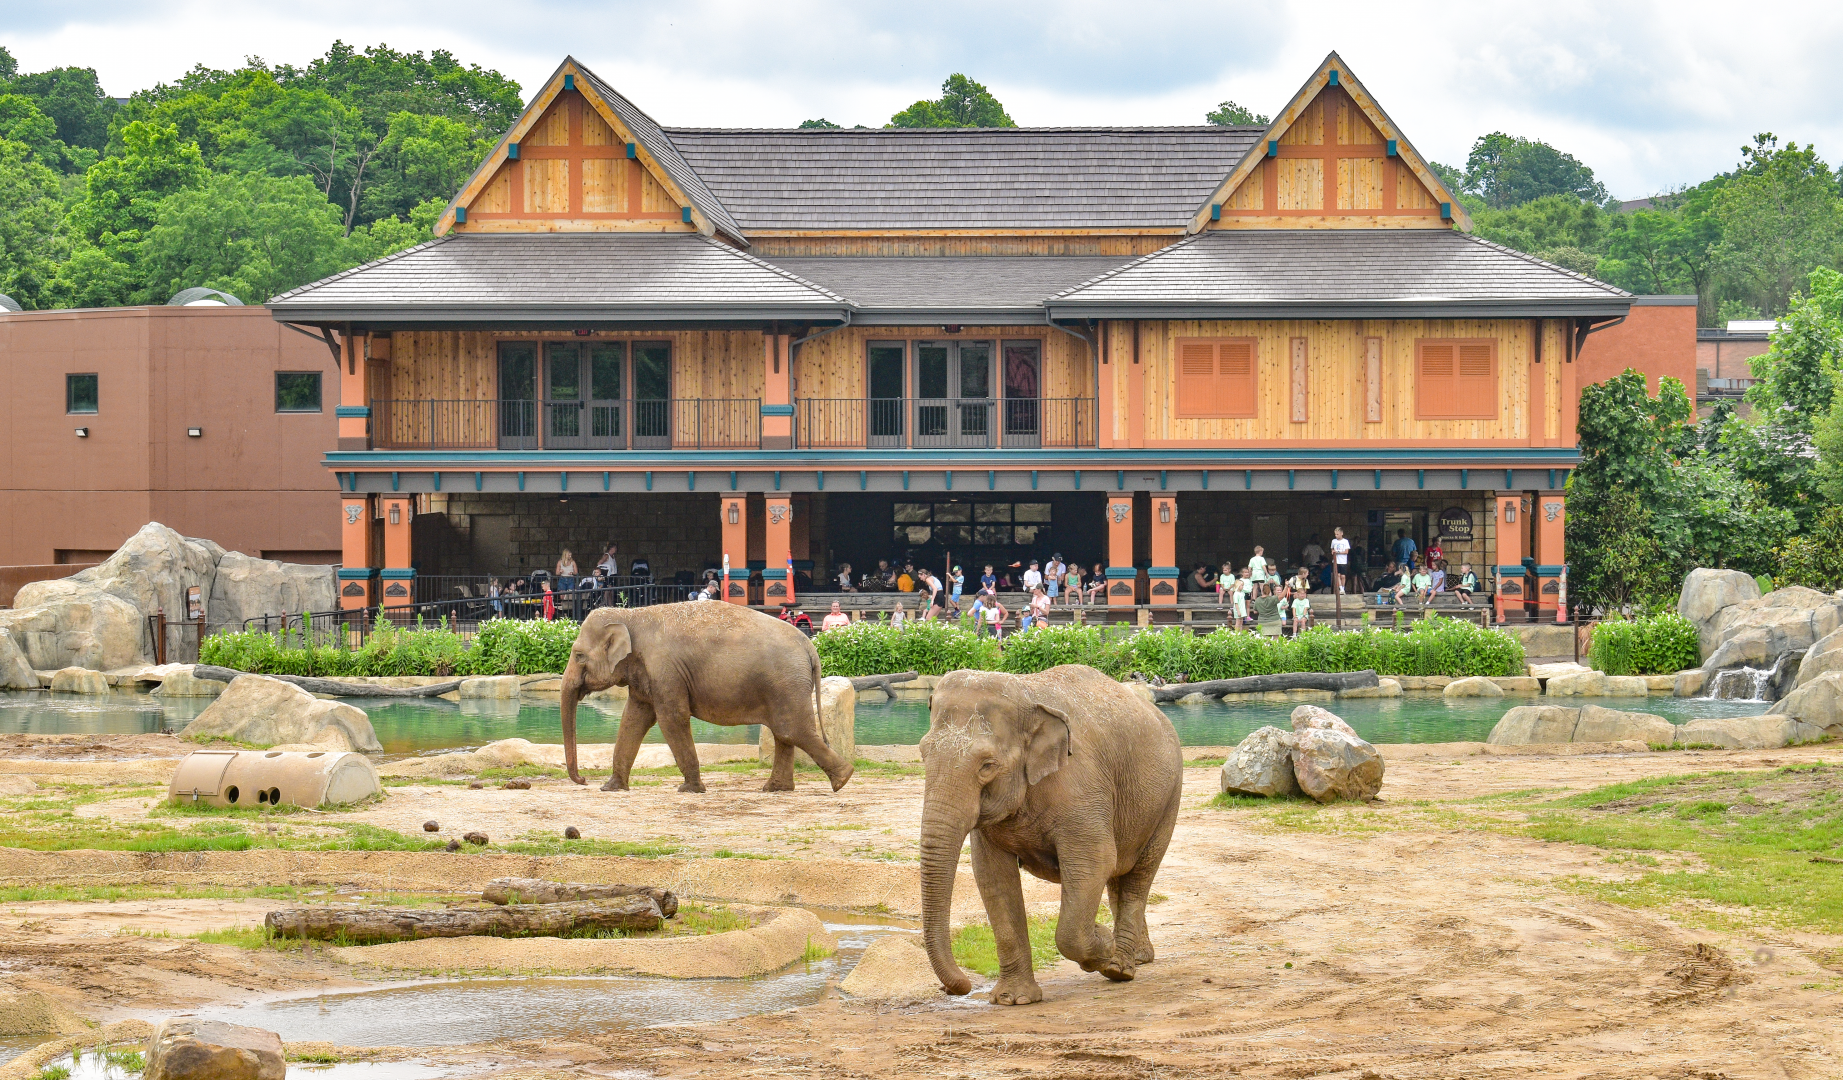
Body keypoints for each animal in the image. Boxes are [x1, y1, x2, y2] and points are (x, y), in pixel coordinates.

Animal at [559, 603, 854, 793]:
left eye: (578, 655)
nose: (583, 780)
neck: (632, 615)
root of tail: (810, 645)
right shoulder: (647, 675)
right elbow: (633, 719)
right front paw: (611, 788)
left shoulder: (665, 670)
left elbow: (671, 719)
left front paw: (690, 789)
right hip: (784, 685)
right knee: (784, 732)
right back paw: (775, 789)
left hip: (786, 683)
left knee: (792, 729)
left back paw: (842, 780)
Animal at [918, 665, 1182, 1005]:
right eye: (923, 754)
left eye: (987, 765)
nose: (954, 987)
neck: (1026, 693)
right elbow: (992, 876)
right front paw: (1013, 999)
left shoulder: (1082, 789)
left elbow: (1094, 861)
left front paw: (1102, 942)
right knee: (1119, 875)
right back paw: (1138, 958)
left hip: (1168, 799)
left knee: (1139, 875)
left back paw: (1120, 967)